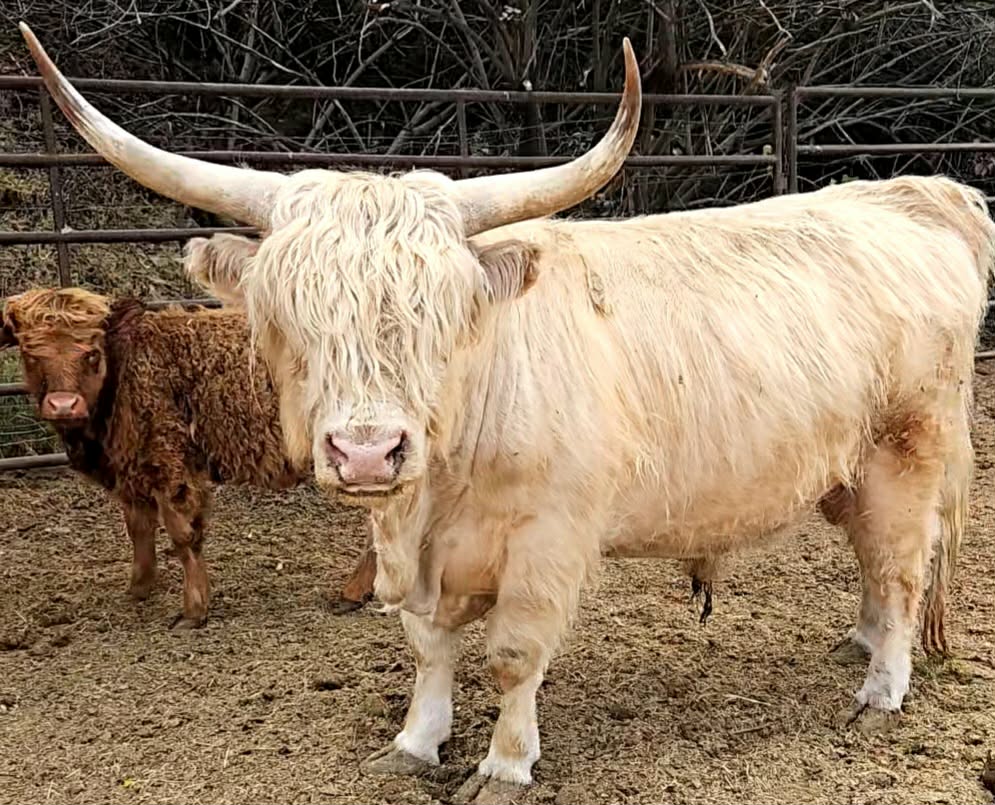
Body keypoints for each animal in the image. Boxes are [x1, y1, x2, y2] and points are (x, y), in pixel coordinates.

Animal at [1, 286, 377, 626]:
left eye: (91, 353)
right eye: (30, 355)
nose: (64, 405)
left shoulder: (171, 465)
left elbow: (183, 535)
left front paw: (194, 610)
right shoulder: (132, 471)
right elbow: (139, 529)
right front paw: (139, 589)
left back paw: (353, 592)